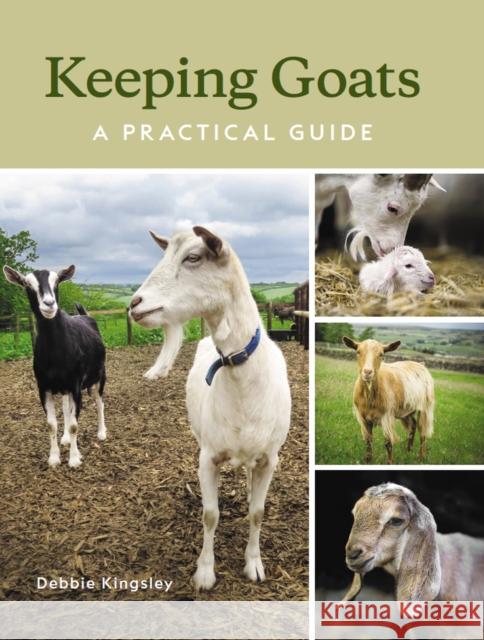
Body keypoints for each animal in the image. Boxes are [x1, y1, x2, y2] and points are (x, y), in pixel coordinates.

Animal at [3, 265, 106, 468]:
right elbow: (51, 424)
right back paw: (65, 438)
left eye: (57, 281)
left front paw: (74, 459)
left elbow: (75, 424)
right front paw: (54, 458)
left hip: (100, 376)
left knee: (99, 402)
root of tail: (84, 315)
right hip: (63, 387)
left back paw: (101, 433)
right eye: (27, 284)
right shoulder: (43, 387)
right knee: (66, 409)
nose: (49, 304)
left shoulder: (75, 386)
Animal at [129, 226, 291, 590]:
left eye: (193, 257)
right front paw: (204, 572)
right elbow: (210, 514)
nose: (134, 304)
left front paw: (254, 564)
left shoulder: (270, 458)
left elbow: (258, 512)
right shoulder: (208, 457)